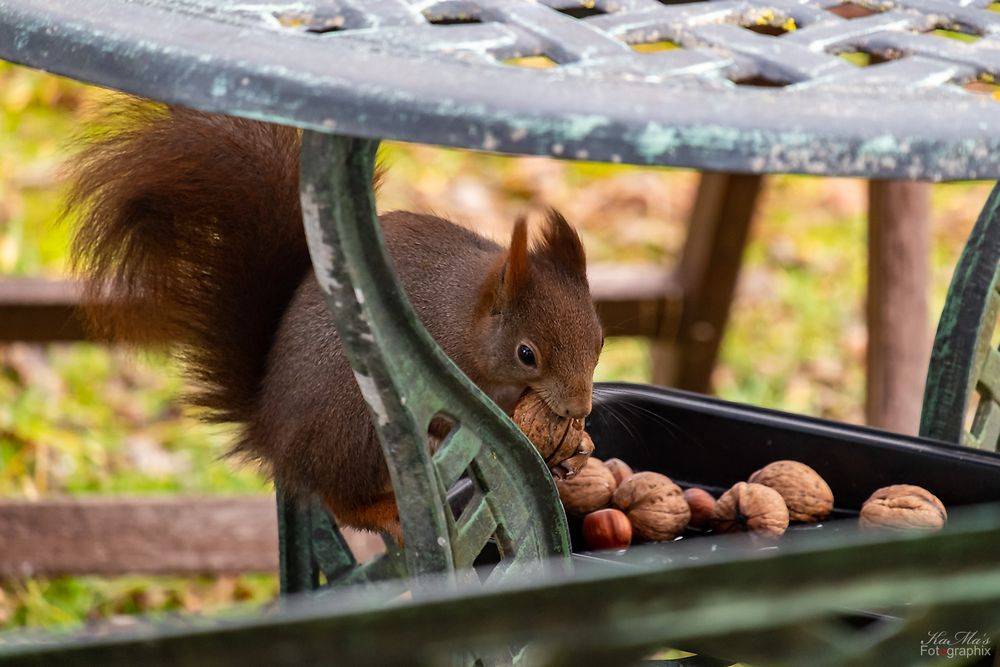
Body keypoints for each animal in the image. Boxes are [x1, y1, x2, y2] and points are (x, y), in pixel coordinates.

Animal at [70, 102, 604, 536]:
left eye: (599, 341)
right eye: (526, 354)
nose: (579, 406)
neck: (467, 317)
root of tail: (274, 439)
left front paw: (577, 447)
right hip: (361, 434)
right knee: (343, 503)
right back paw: (381, 512)